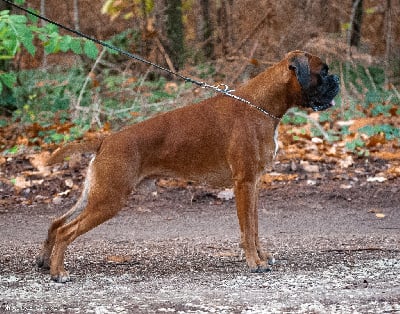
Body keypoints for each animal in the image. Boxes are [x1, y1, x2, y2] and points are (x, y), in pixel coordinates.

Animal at [36, 51, 338, 282]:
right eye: (323, 72)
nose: (337, 80)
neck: (260, 104)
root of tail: (106, 139)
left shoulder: (254, 185)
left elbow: (254, 227)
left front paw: (261, 257)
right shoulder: (244, 183)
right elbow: (247, 229)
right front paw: (254, 262)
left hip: (94, 195)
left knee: (56, 223)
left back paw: (44, 261)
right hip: (109, 199)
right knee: (65, 231)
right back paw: (58, 272)